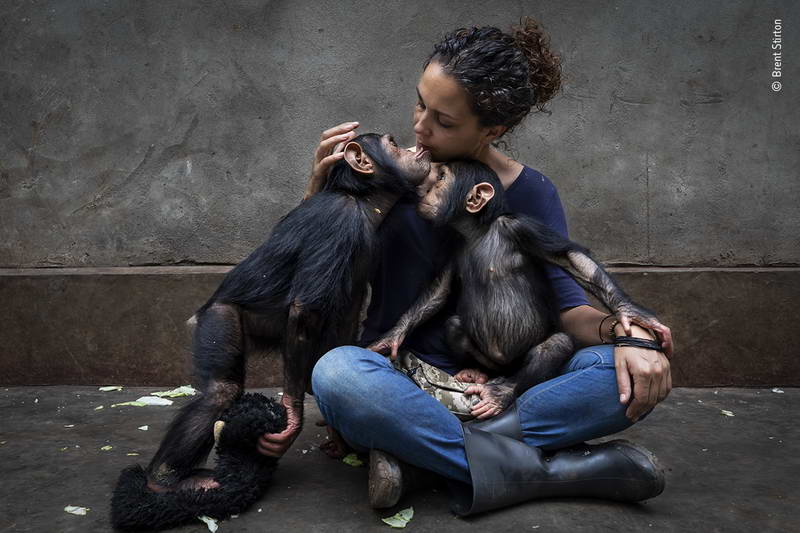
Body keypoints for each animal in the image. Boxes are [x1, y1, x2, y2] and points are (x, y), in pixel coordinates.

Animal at [143, 134, 432, 494]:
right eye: (392, 143)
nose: (413, 148)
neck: (365, 201)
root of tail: (201, 313)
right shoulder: (337, 223)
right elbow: (304, 311)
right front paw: (292, 417)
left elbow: (345, 315)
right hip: (219, 319)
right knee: (221, 391)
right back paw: (162, 480)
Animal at [370, 160, 668, 418]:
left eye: (442, 178)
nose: (427, 188)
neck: (478, 232)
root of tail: (505, 367)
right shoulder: (453, 246)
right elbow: (439, 291)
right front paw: (392, 337)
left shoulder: (520, 227)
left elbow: (570, 259)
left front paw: (630, 311)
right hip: (489, 359)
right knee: (454, 325)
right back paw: (475, 373)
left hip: (522, 361)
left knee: (555, 346)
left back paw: (501, 392)